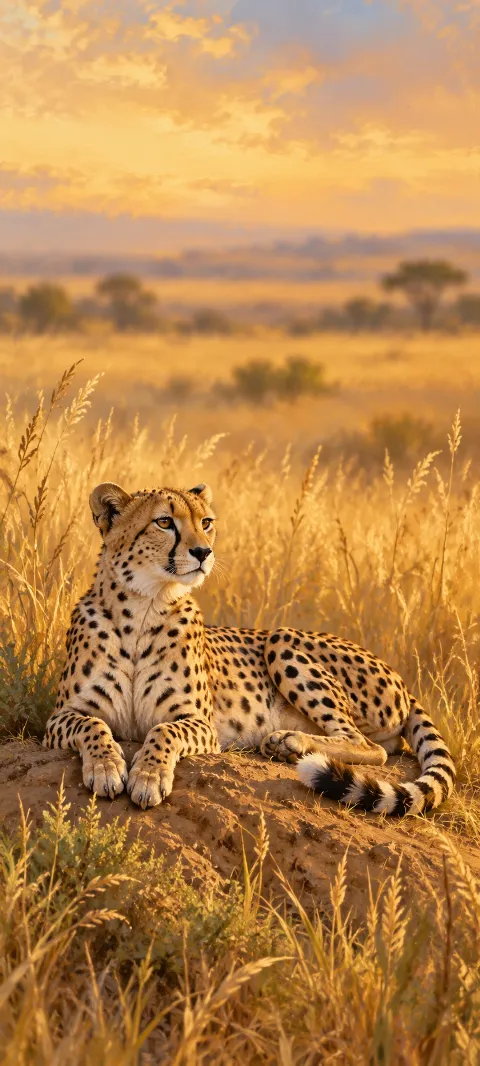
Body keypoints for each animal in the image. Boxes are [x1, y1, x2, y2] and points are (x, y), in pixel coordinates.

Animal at [43, 481, 456, 817]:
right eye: (164, 522)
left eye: (206, 522)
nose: (203, 552)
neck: (144, 607)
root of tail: (400, 679)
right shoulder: (60, 717)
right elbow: (93, 724)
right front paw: (106, 767)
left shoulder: (200, 723)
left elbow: (162, 732)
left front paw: (147, 776)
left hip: (282, 638)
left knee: (370, 745)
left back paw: (289, 741)